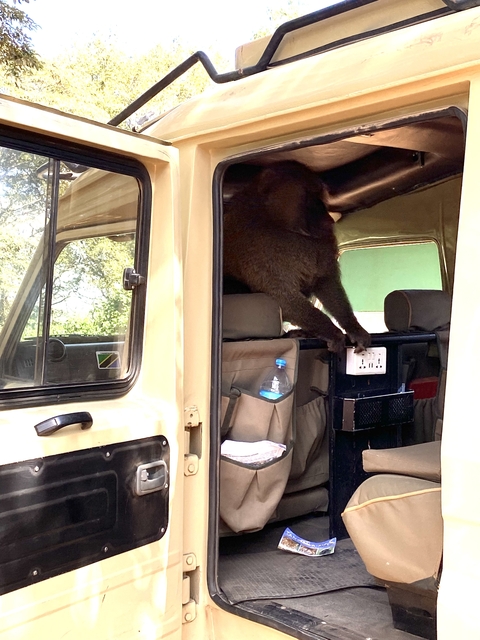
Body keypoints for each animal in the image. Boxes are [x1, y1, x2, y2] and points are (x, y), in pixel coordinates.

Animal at [223, 160, 370, 353]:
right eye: (307, 194)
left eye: (318, 194)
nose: (328, 219)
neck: (275, 219)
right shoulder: (259, 248)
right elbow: (282, 294)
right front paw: (332, 332)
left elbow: (326, 281)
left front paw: (353, 328)